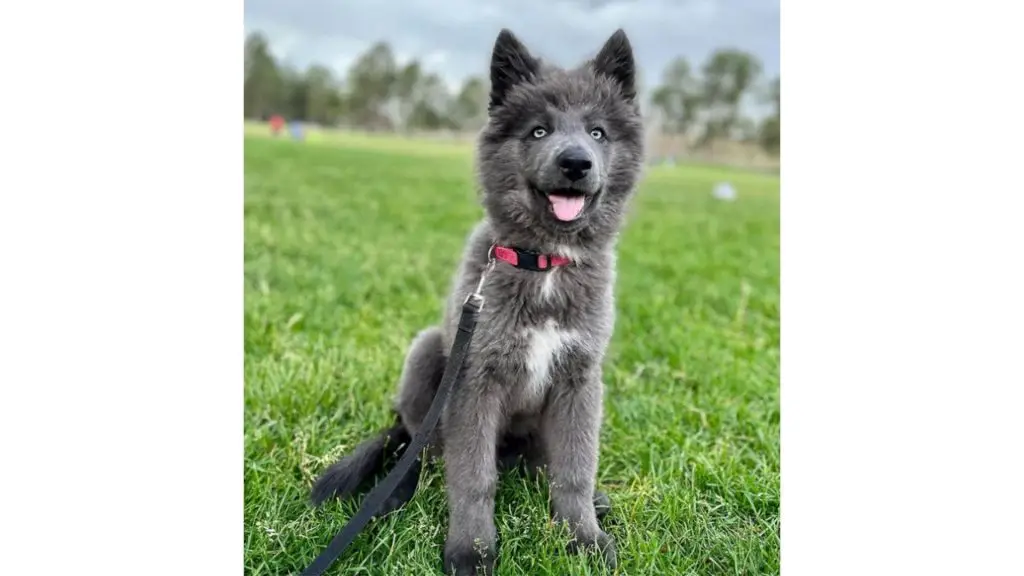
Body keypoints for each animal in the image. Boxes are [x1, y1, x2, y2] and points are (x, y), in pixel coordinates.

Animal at [311, 28, 643, 573]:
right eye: (537, 131)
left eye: (598, 133)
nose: (576, 163)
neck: (543, 263)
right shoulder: (474, 382)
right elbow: (472, 476)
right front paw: (472, 549)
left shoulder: (579, 380)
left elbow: (575, 467)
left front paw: (582, 538)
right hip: (427, 351)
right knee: (420, 448)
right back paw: (394, 492)